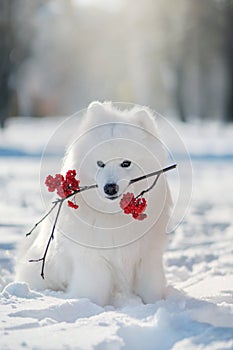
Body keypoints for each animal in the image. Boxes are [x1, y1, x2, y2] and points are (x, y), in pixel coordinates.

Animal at [16, 101, 172, 306]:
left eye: (126, 163)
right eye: (100, 163)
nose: (110, 188)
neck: (114, 216)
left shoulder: (147, 257)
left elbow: (150, 288)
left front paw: (155, 304)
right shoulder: (93, 260)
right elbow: (93, 290)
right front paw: (88, 305)